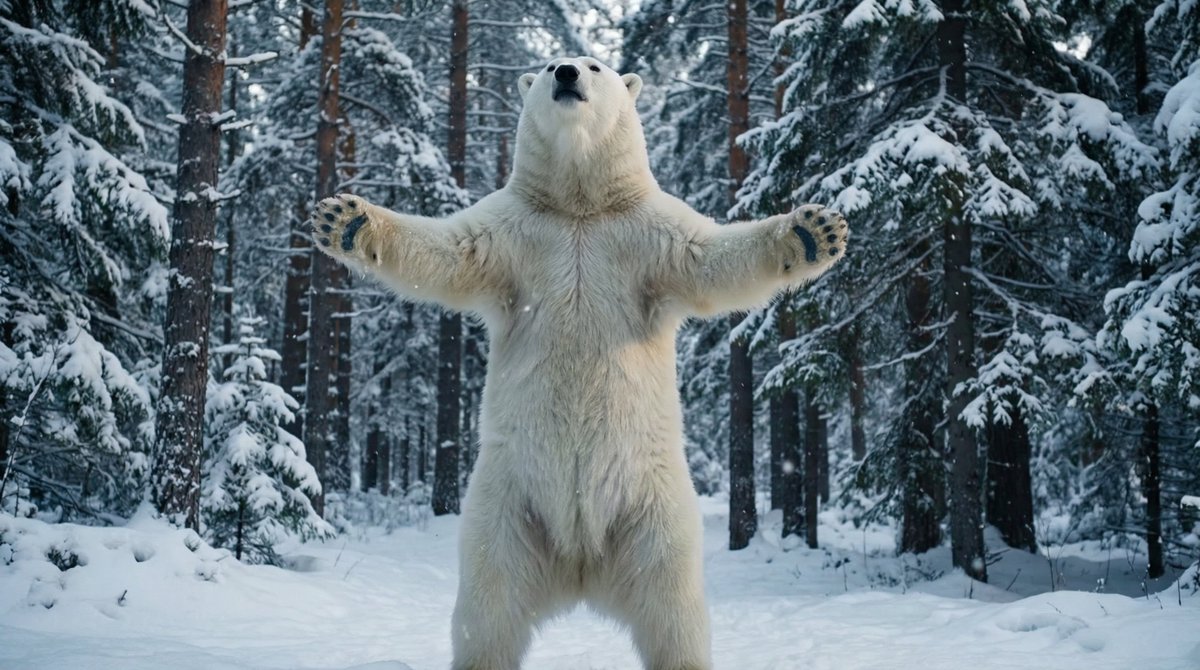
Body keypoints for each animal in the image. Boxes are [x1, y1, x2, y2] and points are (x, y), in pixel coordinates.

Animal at [311, 56, 848, 670]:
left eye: (595, 65)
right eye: (548, 65)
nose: (566, 71)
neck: (580, 208)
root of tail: (581, 565)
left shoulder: (649, 236)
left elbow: (712, 258)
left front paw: (813, 230)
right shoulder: (511, 234)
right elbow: (447, 252)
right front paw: (345, 220)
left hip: (653, 510)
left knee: (674, 610)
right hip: (506, 506)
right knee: (489, 610)